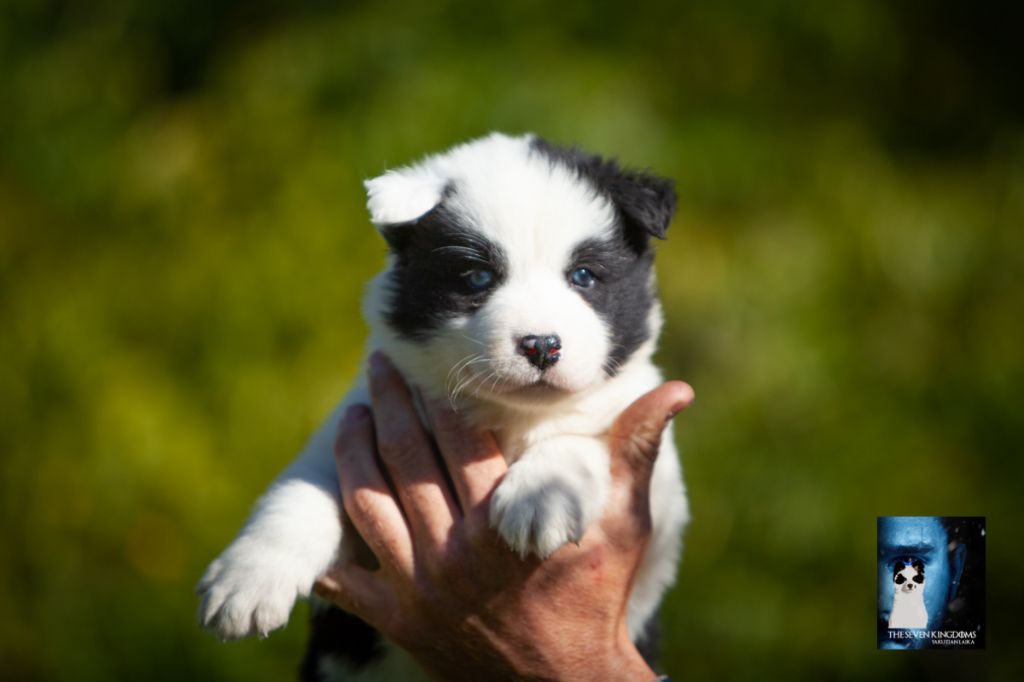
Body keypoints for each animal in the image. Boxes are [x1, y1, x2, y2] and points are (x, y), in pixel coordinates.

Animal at [195, 131, 692, 675]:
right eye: (477, 278)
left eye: (584, 276)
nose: (541, 345)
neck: (509, 414)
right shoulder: (357, 427)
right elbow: (301, 490)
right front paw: (246, 580)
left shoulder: (656, 495)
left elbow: (582, 431)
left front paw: (543, 495)